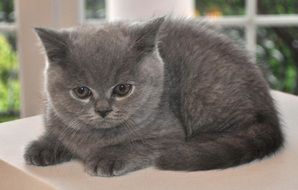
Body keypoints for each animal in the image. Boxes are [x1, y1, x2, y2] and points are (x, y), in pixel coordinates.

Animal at [23, 17, 284, 177]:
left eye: (122, 89)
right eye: (81, 91)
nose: (103, 109)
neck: (96, 138)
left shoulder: (169, 134)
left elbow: (135, 144)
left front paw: (107, 158)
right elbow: (59, 133)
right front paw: (42, 147)